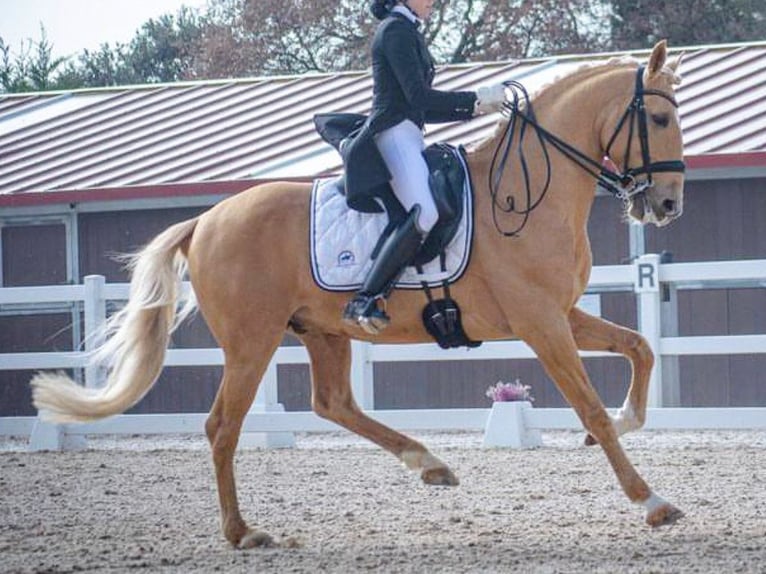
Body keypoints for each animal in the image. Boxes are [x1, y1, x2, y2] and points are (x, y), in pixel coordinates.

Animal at [31, 42, 688, 552]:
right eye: (658, 120)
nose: (667, 205)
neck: (527, 196)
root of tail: (206, 220)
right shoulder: (540, 323)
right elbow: (589, 407)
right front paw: (651, 500)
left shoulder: (559, 314)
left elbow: (639, 348)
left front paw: (628, 424)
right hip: (252, 340)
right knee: (223, 425)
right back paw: (243, 532)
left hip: (322, 331)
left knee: (333, 403)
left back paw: (429, 464)